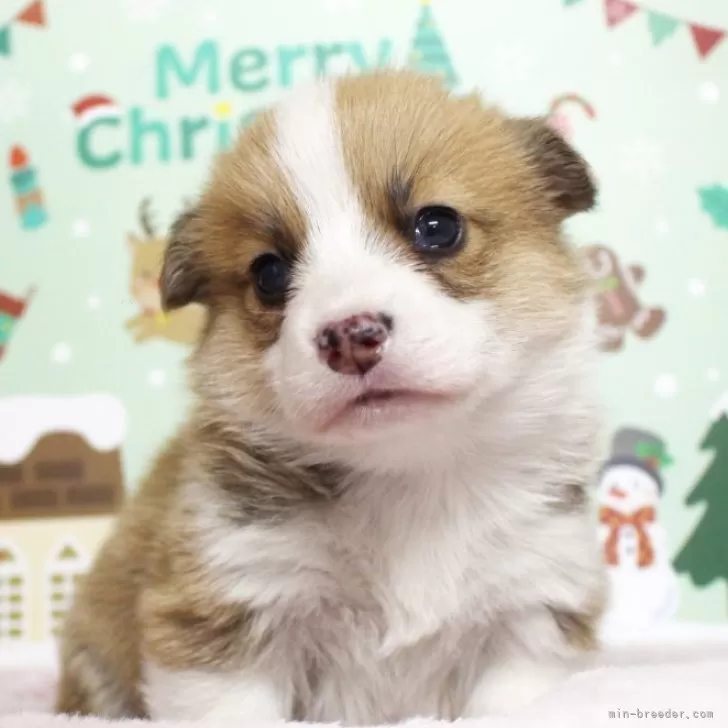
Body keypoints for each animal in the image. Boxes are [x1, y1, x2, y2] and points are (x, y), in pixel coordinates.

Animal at [55, 71, 604, 724]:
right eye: (268, 273)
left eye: (437, 227)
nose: (350, 335)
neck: (411, 473)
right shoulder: (231, 604)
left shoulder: (531, 610)